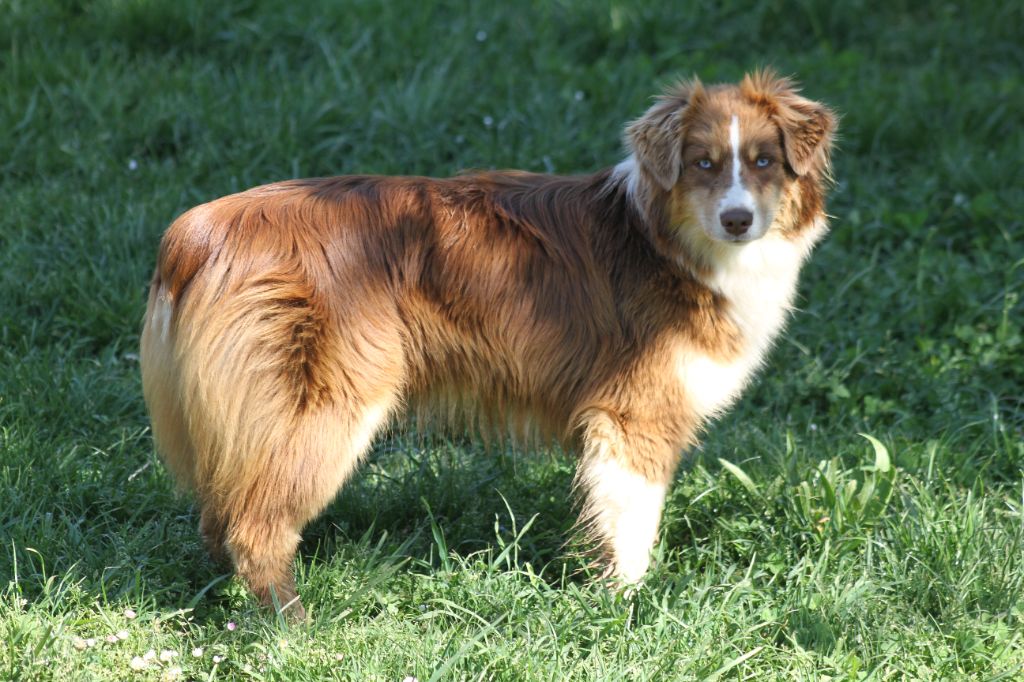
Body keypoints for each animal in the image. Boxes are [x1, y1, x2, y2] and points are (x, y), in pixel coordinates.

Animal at [138, 69, 839, 614]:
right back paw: (293, 627)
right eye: (702, 163)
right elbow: (631, 528)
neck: (668, 243)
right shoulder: (634, 416)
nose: (738, 220)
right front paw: (628, 610)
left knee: (219, 515)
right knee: (255, 528)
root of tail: (195, 233)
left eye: (764, 161)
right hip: (321, 410)